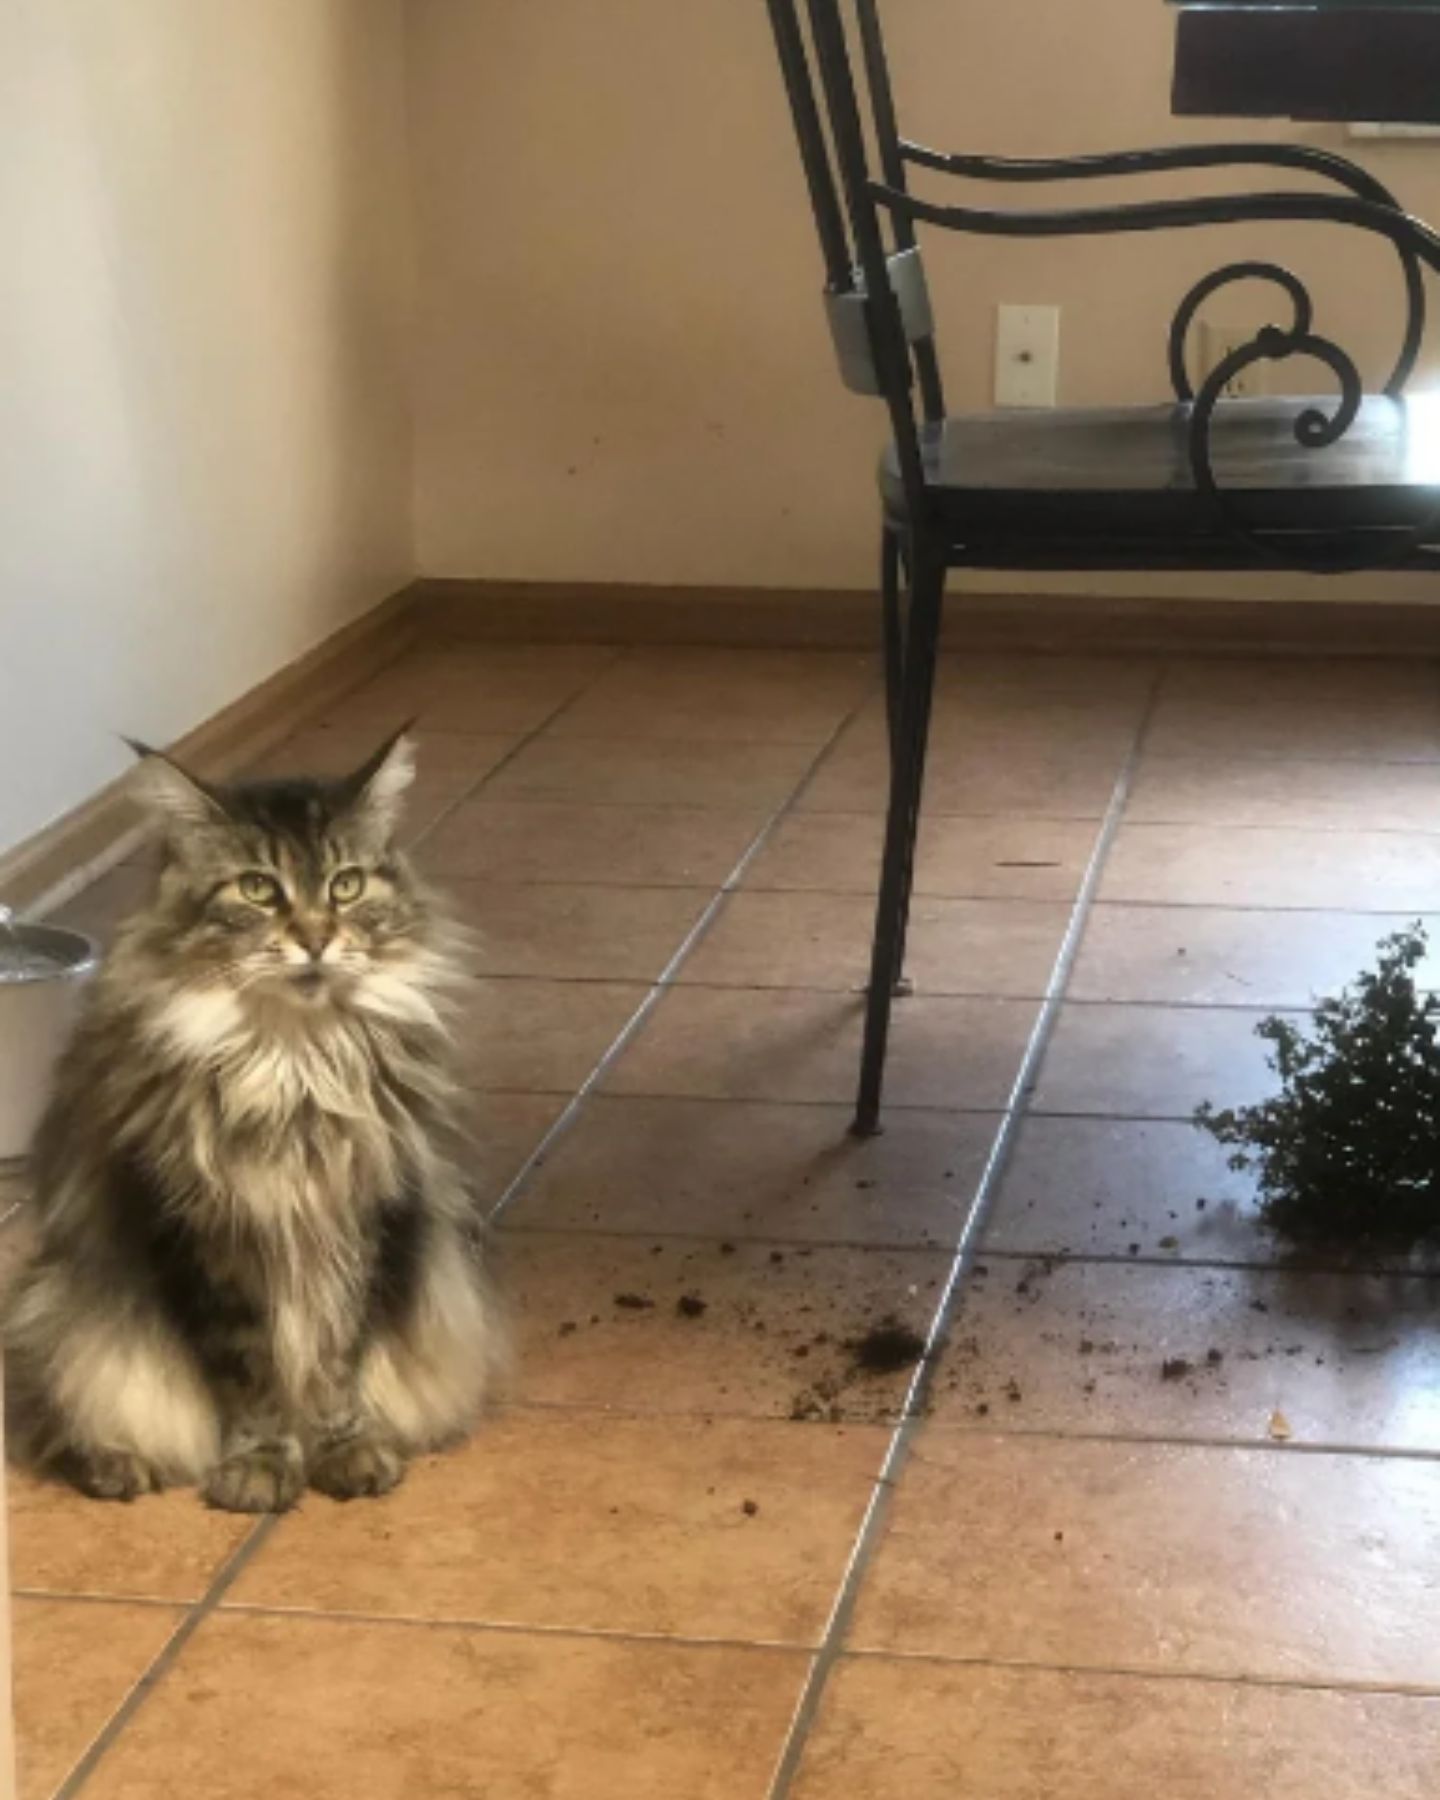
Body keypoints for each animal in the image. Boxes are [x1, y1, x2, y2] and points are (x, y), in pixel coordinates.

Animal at [5, 730, 496, 1504]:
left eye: (346, 885)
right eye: (259, 889)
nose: (317, 938)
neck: (294, 1062)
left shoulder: (362, 1219)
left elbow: (336, 1362)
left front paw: (345, 1450)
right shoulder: (204, 1235)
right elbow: (249, 1375)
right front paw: (260, 1465)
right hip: (59, 1310)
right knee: (59, 1419)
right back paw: (120, 1467)